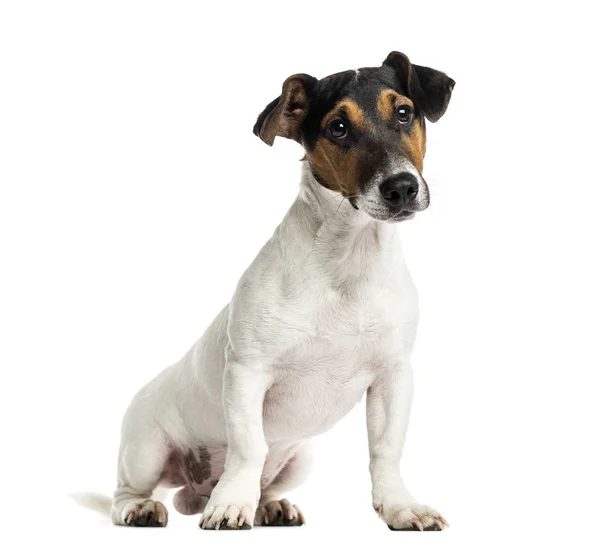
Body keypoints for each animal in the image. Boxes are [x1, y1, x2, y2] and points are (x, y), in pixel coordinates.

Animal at [98, 51, 452, 528]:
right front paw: (231, 505)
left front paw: (400, 506)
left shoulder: (394, 377)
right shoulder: (248, 372)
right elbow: (248, 447)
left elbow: (386, 450)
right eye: (338, 127)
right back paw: (145, 508)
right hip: (145, 448)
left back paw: (269, 506)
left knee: (266, 484)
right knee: (127, 490)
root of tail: (195, 489)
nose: (401, 187)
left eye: (403, 112)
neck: (348, 259)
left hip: (300, 460)